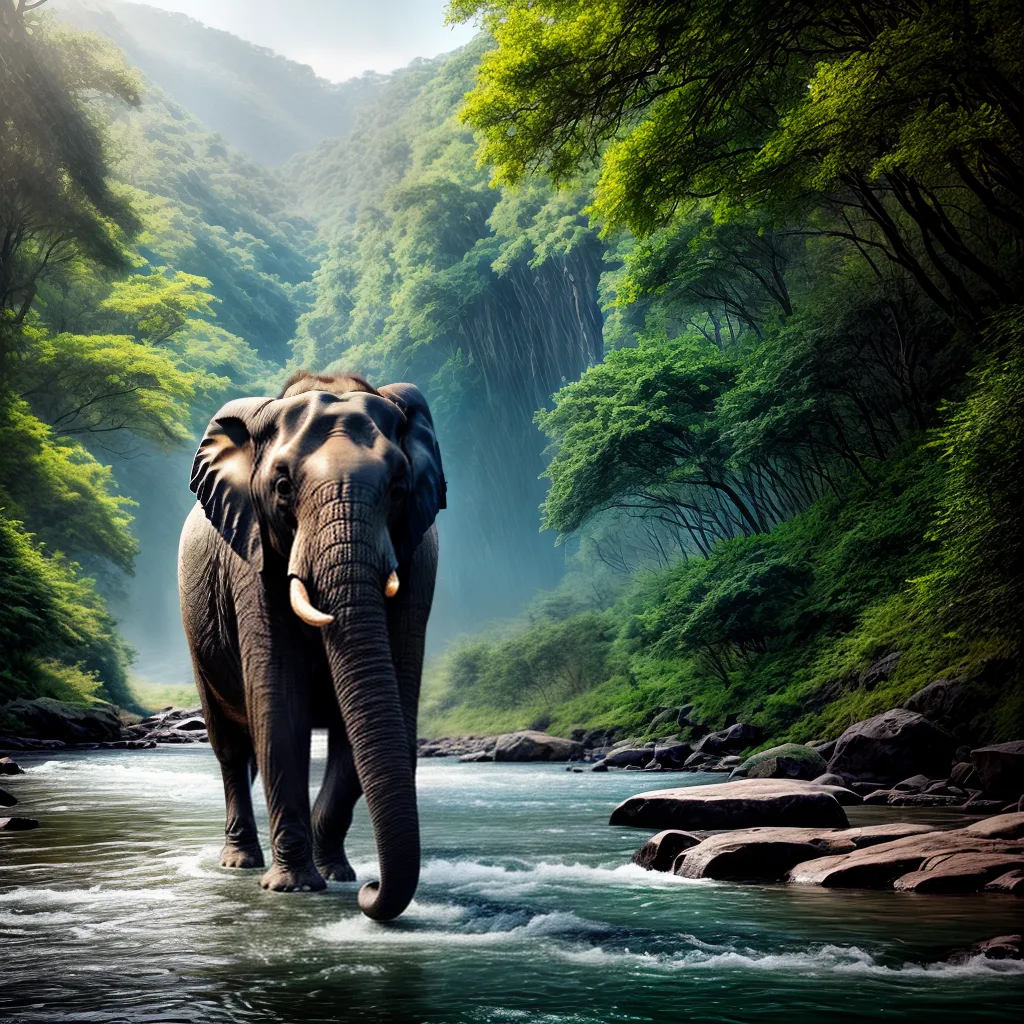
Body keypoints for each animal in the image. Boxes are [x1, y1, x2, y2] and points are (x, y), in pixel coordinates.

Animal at [178, 371, 445, 921]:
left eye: (399, 488)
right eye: (282, 488)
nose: (371, 890)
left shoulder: (420, 560)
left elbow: (383, 710)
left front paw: (337, 877)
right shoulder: (251, 558)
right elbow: (280, 707)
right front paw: (294, 888)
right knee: (230, 748)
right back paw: (239, 862)